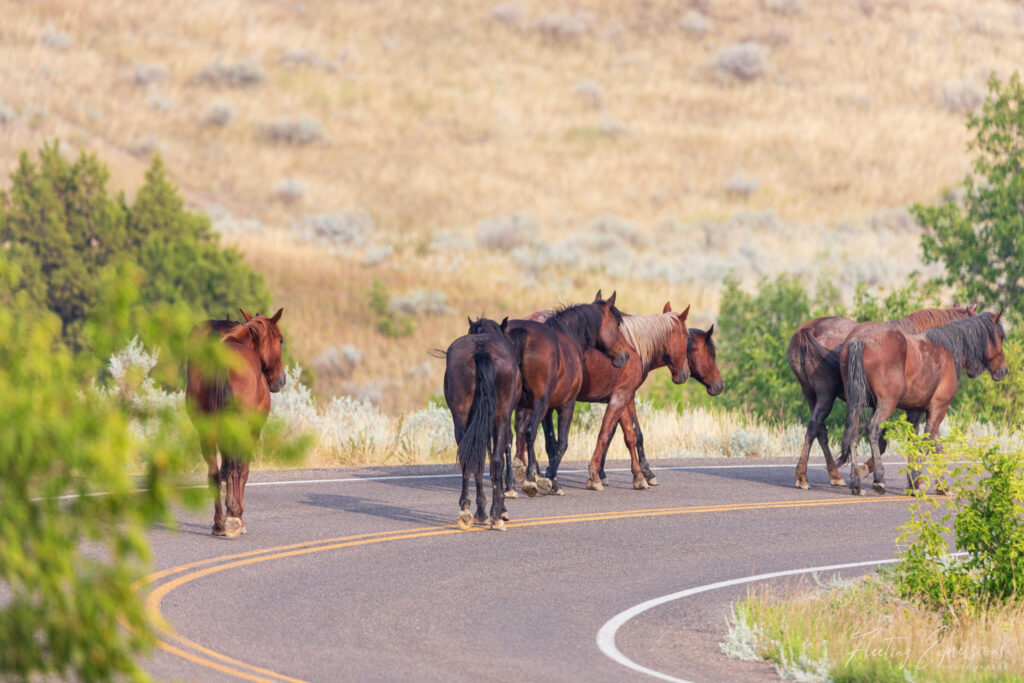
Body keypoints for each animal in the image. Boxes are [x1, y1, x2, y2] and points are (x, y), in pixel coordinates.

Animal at [185, 309, 286, 540]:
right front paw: (237, 516)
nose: (280, 380)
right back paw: (234, 520)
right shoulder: (252, 431)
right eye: (281, 340)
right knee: (235, 469)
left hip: (206, 431)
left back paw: (219, 524)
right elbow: (243, 471)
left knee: (214, 473)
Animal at [440, 323, 520, 532]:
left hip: (461, 416)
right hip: (501, 416)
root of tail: (481, 350)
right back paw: (494, 515)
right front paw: (501, 509)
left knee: (469, 456)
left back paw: (468, 511)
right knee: (496, 458)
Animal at [471, 292, 630, 497]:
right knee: (530, 433)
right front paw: (550, 480)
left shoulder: (547, 410)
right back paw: (530, 480)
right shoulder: (566, 405)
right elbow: (561, 443)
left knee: (508, 437)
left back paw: (509, 485)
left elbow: (549, 443)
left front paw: (547, 479)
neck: (568, 334)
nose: (626, 355)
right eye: (617, 323)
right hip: (539, 404)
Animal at [786, 305, 978, 491]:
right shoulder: (911, 408)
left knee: (818, 430)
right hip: (827, 395)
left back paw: (826, 475)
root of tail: (807, 329)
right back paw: (810, 477)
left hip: (812, 396)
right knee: (816, 428)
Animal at [839, 311, 1007, 497]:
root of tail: (859, 339)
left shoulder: (916, 411)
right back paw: (879, 478)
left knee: (853, 434)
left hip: (856, 403)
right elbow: (928, 443)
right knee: (873, 429)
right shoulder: (938, 409)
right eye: (1000, 336)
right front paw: (916, 481)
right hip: (887, 403)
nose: (1004, 370)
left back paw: (856, 483)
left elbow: (926, 444)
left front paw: (937, 485)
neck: (947, 349)